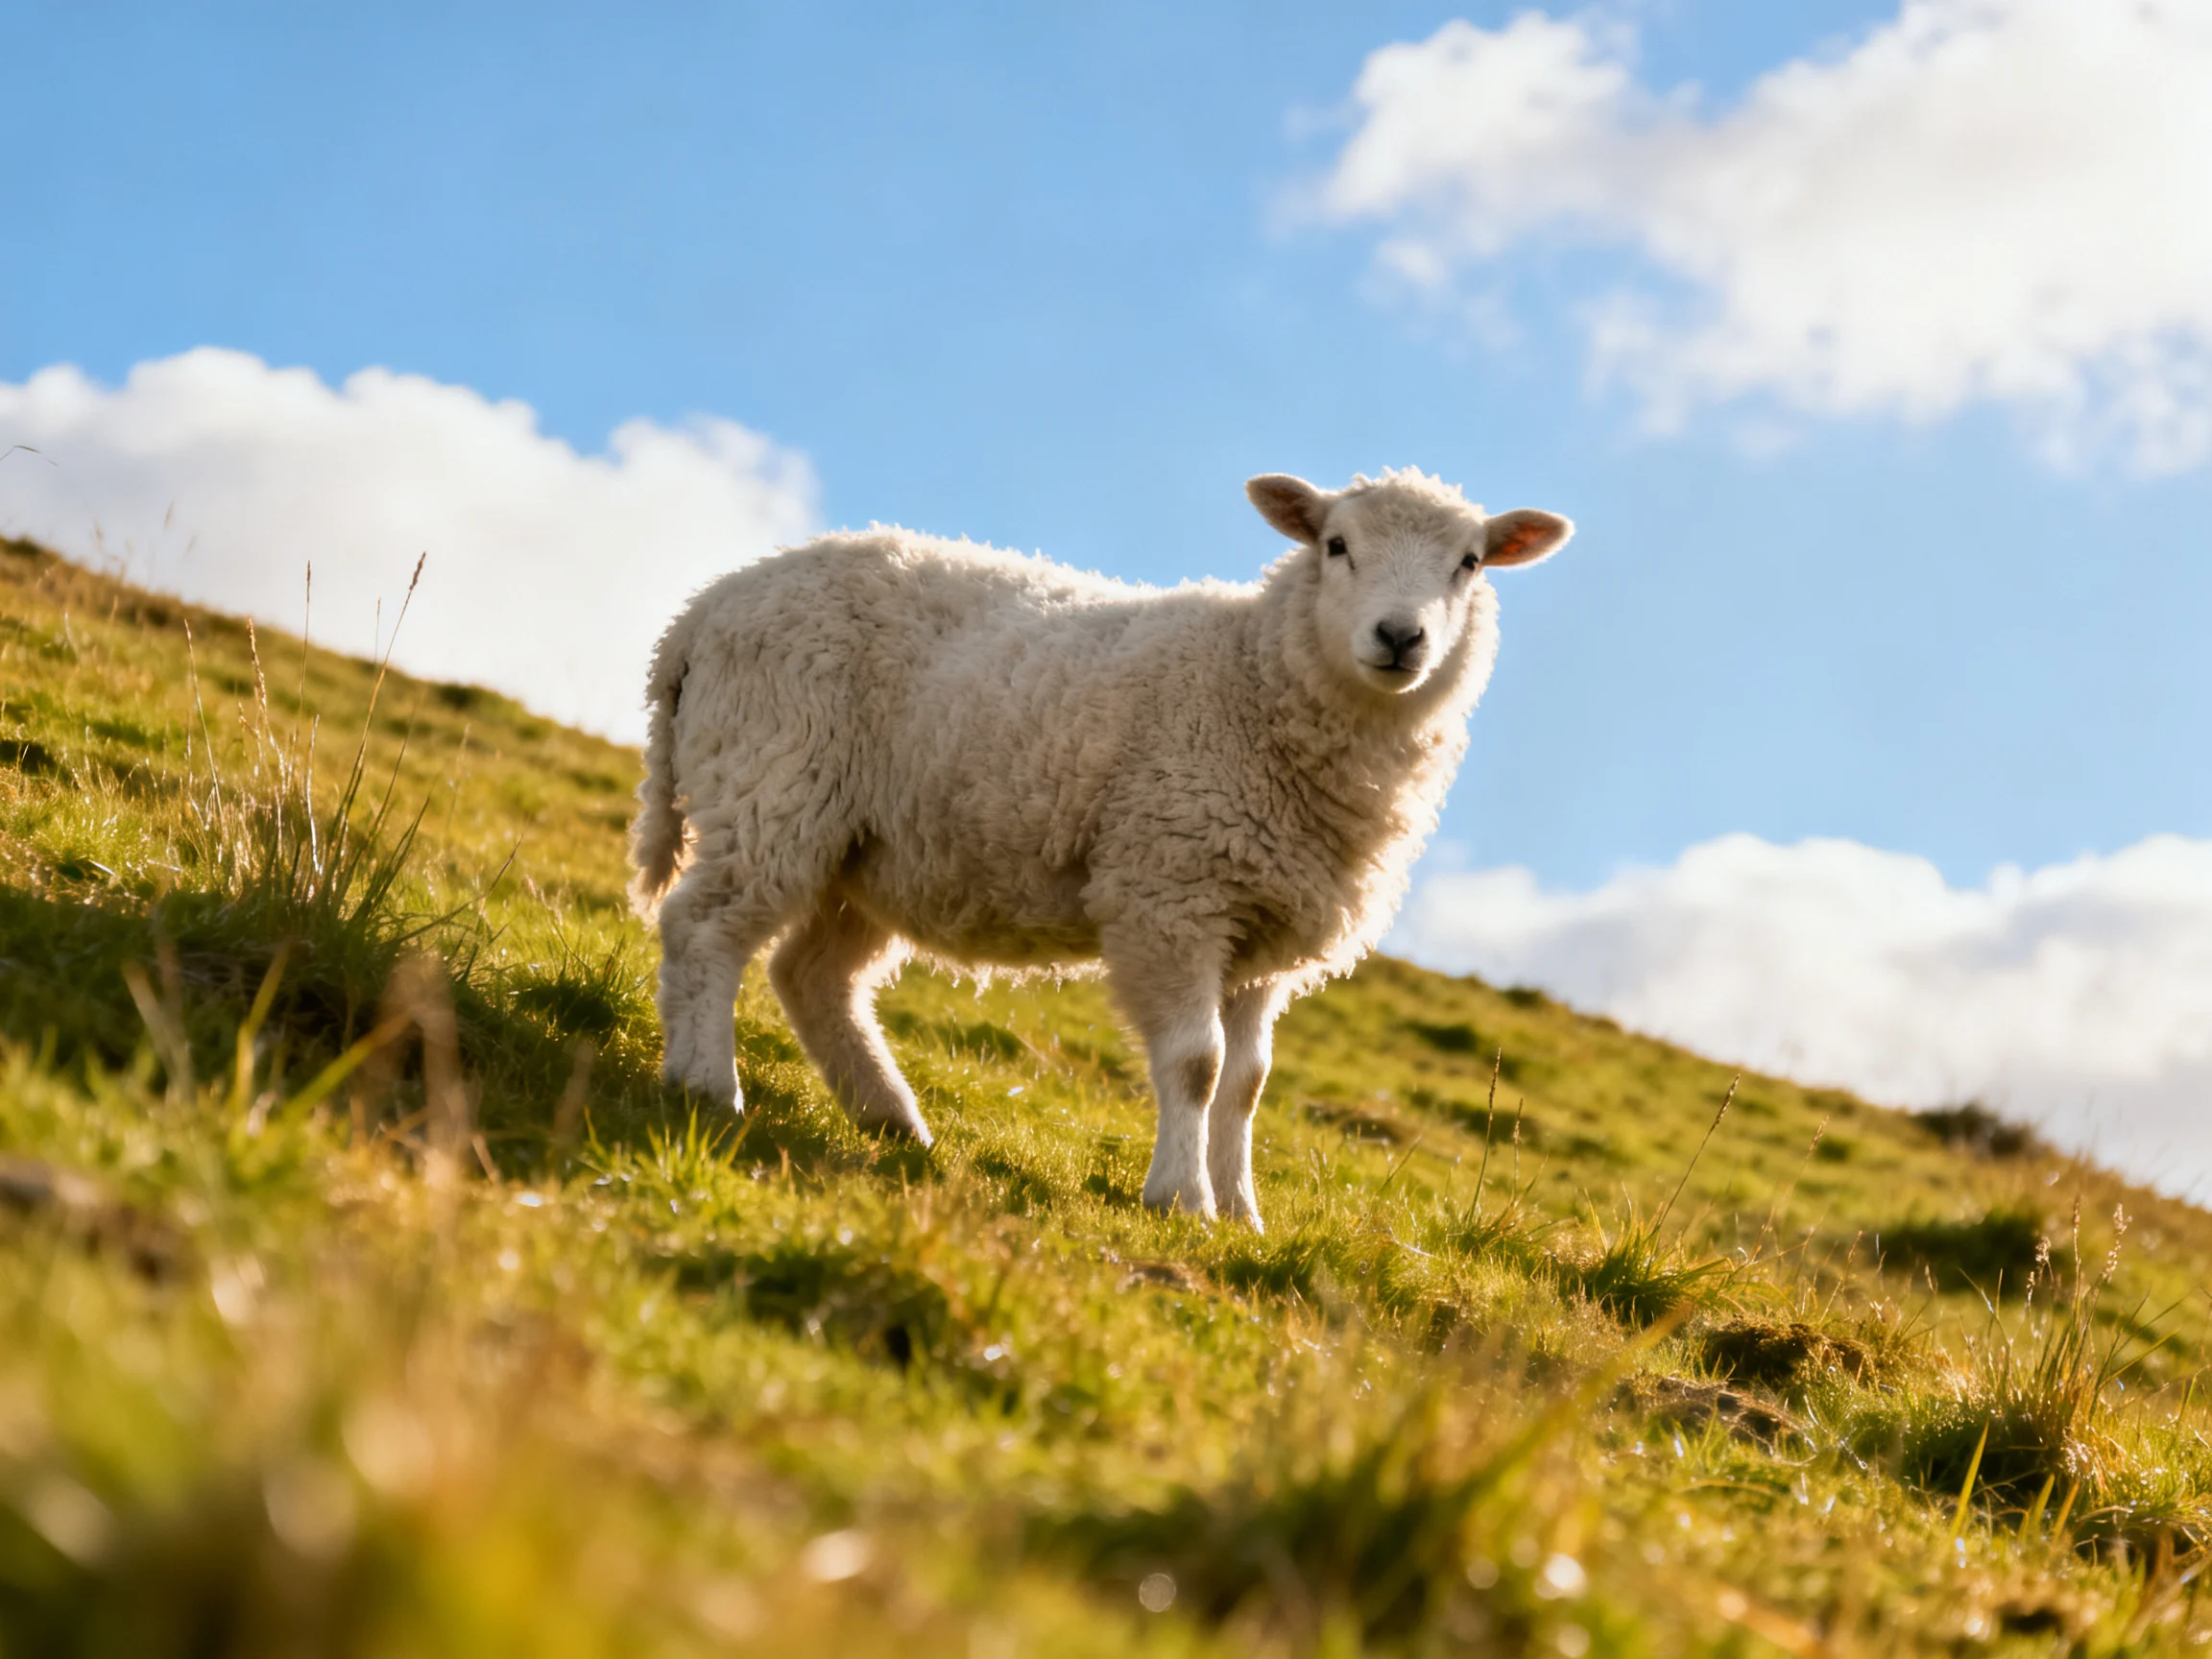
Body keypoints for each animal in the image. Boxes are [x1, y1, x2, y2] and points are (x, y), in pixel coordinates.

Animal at [628, 468, 1571, 1228]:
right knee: (703, 928)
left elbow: (1248, 1083)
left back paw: (890, 1119)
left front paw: (1242, 1213)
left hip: (874, 850)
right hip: (774, 784)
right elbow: (1196, 1066)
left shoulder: (1263, 932)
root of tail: (701, 612)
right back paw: (706, 1085)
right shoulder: (1172, 891)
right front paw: (1181, 1199)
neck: (1255, 678)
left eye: (1470, 563)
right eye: (1336, 545)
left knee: (813, 975)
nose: (1401, 637)